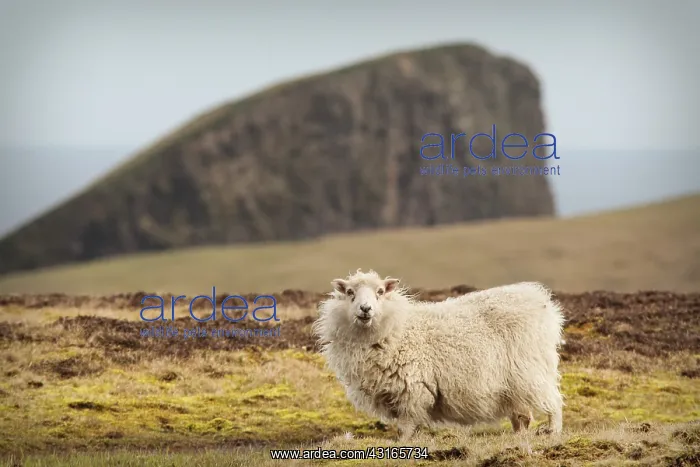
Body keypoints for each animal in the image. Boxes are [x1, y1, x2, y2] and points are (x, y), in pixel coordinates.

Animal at [312, 269, 565, 441]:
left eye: (380, 292)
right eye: (350, 293)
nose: (365, 309)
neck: (398, 330)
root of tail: (540, 301)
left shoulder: (411, 388)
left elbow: (406, 425)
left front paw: (403, 443)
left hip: (530, 368)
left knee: (553, 400)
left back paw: (552, 430)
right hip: (514, 382)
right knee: (522, 413)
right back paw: (519, 435)